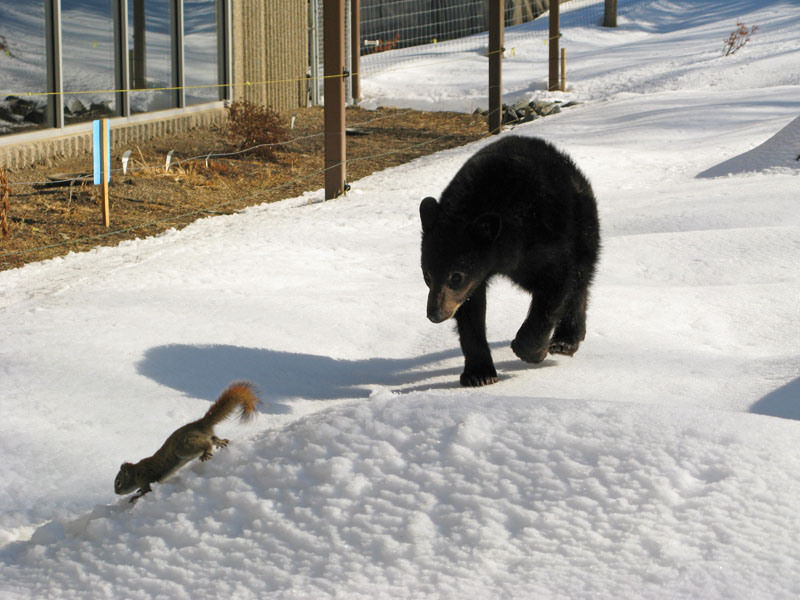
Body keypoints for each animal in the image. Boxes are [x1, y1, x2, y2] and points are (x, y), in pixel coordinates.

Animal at [114, 382, 259, 502]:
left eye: (118, 482)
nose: (116, 492)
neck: (135, 472)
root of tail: (199, 425)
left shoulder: (144, 478)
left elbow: (146, 491)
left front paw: (136, 497)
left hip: (184, 447)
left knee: (206, 444)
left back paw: (207, 452)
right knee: (212, 438)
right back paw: (221, 442)